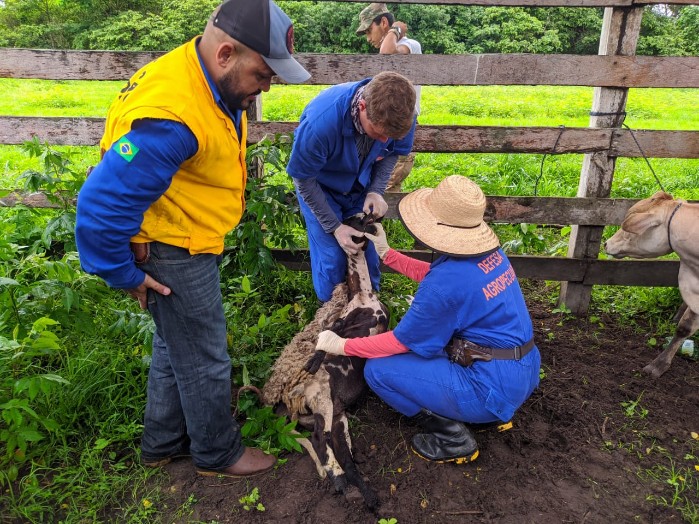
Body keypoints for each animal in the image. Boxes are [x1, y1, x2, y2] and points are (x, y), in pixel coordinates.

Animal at [262, 212, 388, 508]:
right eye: (356, 220)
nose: (374, 217)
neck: (364, 293)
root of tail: (292, 407)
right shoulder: (348, 322)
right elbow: (329, 334)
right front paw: (311, 363)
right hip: (322, 400)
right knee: (320, 439)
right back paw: (341, 481)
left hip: (338, 415)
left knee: (341, 452)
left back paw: (364, 493)